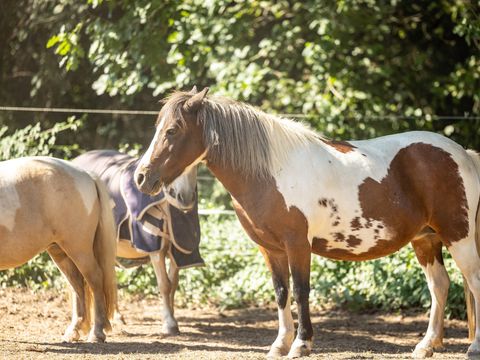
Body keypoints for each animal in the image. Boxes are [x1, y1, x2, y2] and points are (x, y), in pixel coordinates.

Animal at [0, 156, 117, 342]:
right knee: (77, 284)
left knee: (95, 280)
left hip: (79, 250)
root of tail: (86, 175)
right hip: (60, 252)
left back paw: (97, 333)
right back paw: (74, 330)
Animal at [133, 88, 480, 358]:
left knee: (473, 280)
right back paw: (426, 345)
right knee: (439, 285)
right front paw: (279, 344)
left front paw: (301, 344)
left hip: (458, 236)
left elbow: (300, 290)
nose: (141, 177)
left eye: (172, 131)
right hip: (426, 239)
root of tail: (463, 154)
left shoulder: (297, 245)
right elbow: (281, 291)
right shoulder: (270, 249)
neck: (270, 172)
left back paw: (473, 347)